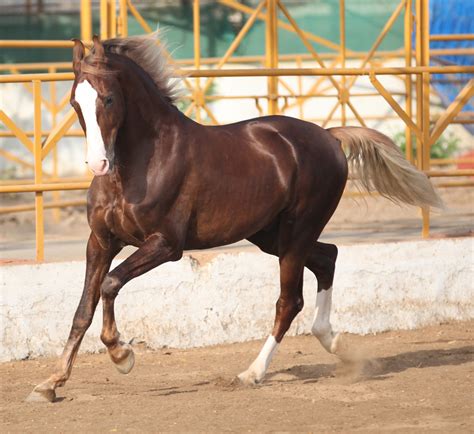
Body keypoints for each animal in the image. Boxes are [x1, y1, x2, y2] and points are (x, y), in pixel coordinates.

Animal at [26, 34, 440, 404]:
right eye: (74, 102)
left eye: (108, 98)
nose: (97, 163)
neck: (140, 164)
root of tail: (329, 136)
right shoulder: (100, 241)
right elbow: (83, 309)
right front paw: (49, 384)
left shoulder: (166, 245)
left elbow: (111, 285)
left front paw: (121, 354)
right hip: (271, 236)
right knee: (328, 257)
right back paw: (334, 341)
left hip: (298, 230)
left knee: (290, 300)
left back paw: (252, 374)